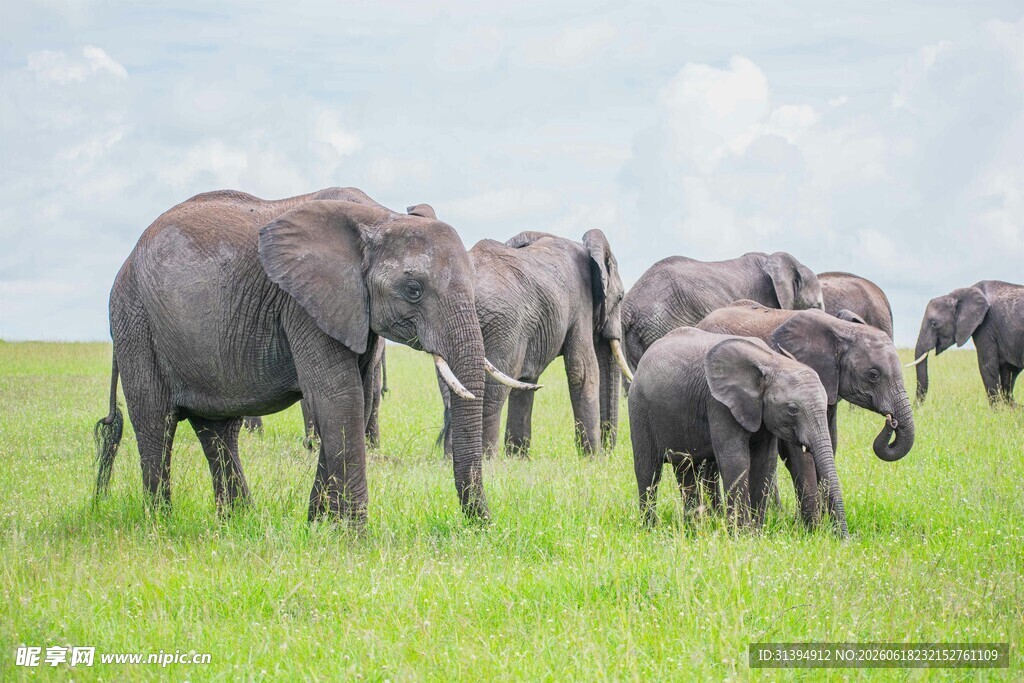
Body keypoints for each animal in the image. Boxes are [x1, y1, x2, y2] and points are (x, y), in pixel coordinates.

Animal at [92, 186, 526, 524]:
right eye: (414, 290)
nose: (483, 528)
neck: (380, 217)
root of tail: (127, 260)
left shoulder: (353, 312)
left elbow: (353, 399)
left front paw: (316, 526)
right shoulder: (303, 305)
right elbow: (340, 398)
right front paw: (354, 539)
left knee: (217, 430)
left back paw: (238, 520)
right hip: (136, 320)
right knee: (155, 420)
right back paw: (160, 524)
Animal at [437, 229, 631, 457]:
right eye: (620, 297)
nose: (609, 452)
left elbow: (527, 379)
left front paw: (517, 459)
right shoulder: (581, 302)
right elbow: (583, 371)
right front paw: (592, 460)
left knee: (454, 396)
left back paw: (450, 460)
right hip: (504, 326)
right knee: (493, 395)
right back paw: (487, 460)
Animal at [628, 327, 846, 535]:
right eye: (792, 409)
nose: (843, 539)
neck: (772, 361)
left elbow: (764, 461)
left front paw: (756, 534)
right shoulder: (718, 403)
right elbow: (736, 459)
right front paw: (742, 535)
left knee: (685, 471)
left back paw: (693, 529)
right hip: (639, 408)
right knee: (648, 471)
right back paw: (650, 529)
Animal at [697, 300, 914, 525]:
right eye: (873, 375)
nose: (891, 421)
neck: (842, 329)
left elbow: (829, 442)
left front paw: (826, 522)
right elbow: (799, 452)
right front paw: (813, 527)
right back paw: (714, 515)